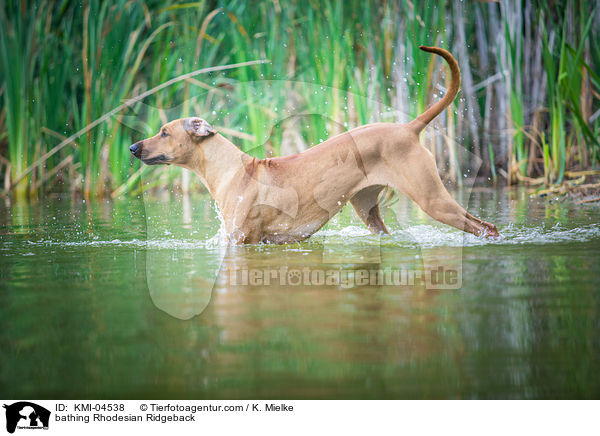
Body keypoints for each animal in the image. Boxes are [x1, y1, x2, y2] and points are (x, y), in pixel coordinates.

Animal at [129, 47, 500, 245]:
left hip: (432, 198)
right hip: (368, 209)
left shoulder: (242, 242)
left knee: (487, 227)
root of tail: (408, 128)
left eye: (163, 132)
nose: (132, 147)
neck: (233, 170)